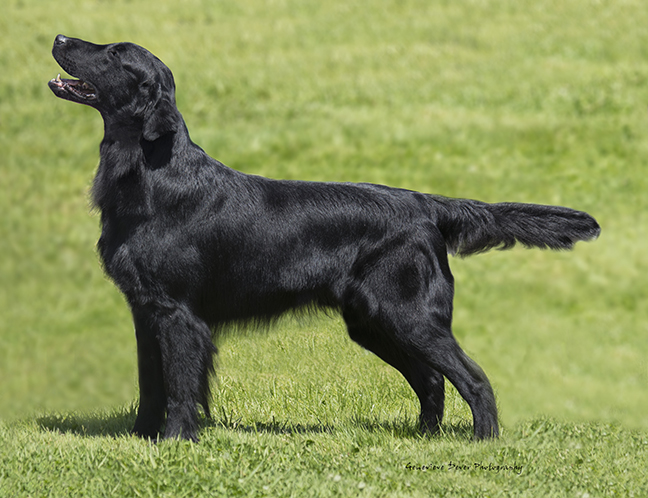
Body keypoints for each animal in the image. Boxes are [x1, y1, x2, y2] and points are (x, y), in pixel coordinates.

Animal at [48, 34, 600, 440]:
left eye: (114, 54)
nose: (59, 36)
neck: (149, 174)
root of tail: (425, 204)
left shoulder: (178, 312)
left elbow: (181, 387)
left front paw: (176, 442)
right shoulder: (145, 310)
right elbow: (150, 385)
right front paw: (140, 440)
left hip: (408, 314)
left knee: (472, 377)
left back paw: (482, 441)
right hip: (372, 321)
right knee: (430, 379)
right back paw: (425, 435)